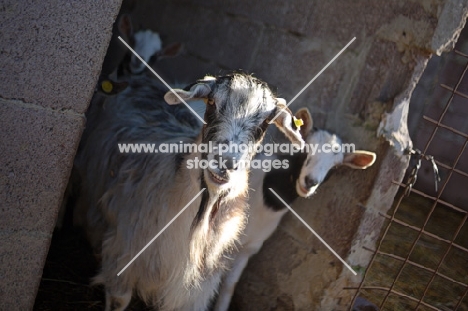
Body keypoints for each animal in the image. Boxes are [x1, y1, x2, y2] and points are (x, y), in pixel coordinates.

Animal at [74, 73, 304, 311]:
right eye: (211, 102)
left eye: (266, 121)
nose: (225, 163)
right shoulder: (120, 259)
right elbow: (119, 300)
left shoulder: (196, 291)